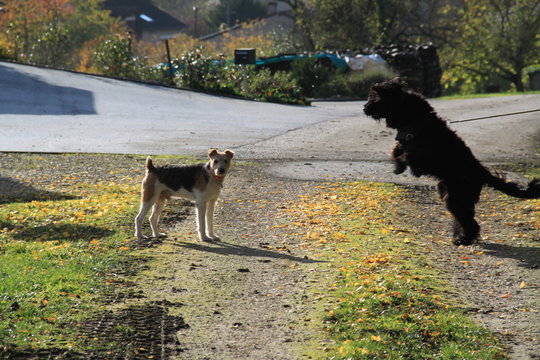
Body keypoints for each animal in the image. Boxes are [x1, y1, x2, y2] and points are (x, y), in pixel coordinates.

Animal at [362, 78, 540, 245]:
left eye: (376, 97)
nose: (364, 108)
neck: (418, 121)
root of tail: (482, 172)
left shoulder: (420, 155)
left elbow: (405, 156)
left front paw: (401, 166)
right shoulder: (404, 144)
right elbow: (396, 150)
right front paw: (397, 167)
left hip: (457, 196)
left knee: (470, 222)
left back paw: (464, 240)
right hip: (449, 192)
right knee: (464, 218)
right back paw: (459, 236)